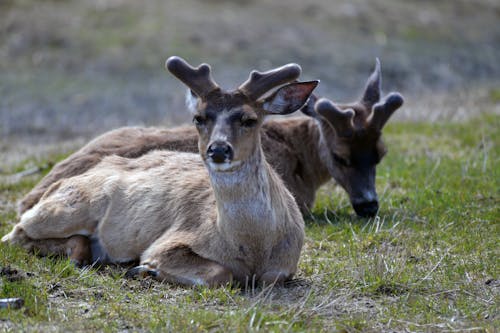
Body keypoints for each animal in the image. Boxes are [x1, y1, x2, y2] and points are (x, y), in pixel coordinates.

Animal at [1, 56, 318, 286]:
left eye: (249, 119)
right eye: (198, 117)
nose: (218, 149)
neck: (254, 247)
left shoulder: (284, 267)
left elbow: (270, 278)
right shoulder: (170, 241)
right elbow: (221, 274)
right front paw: (146, 269)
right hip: (70, 206)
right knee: (15, 233)